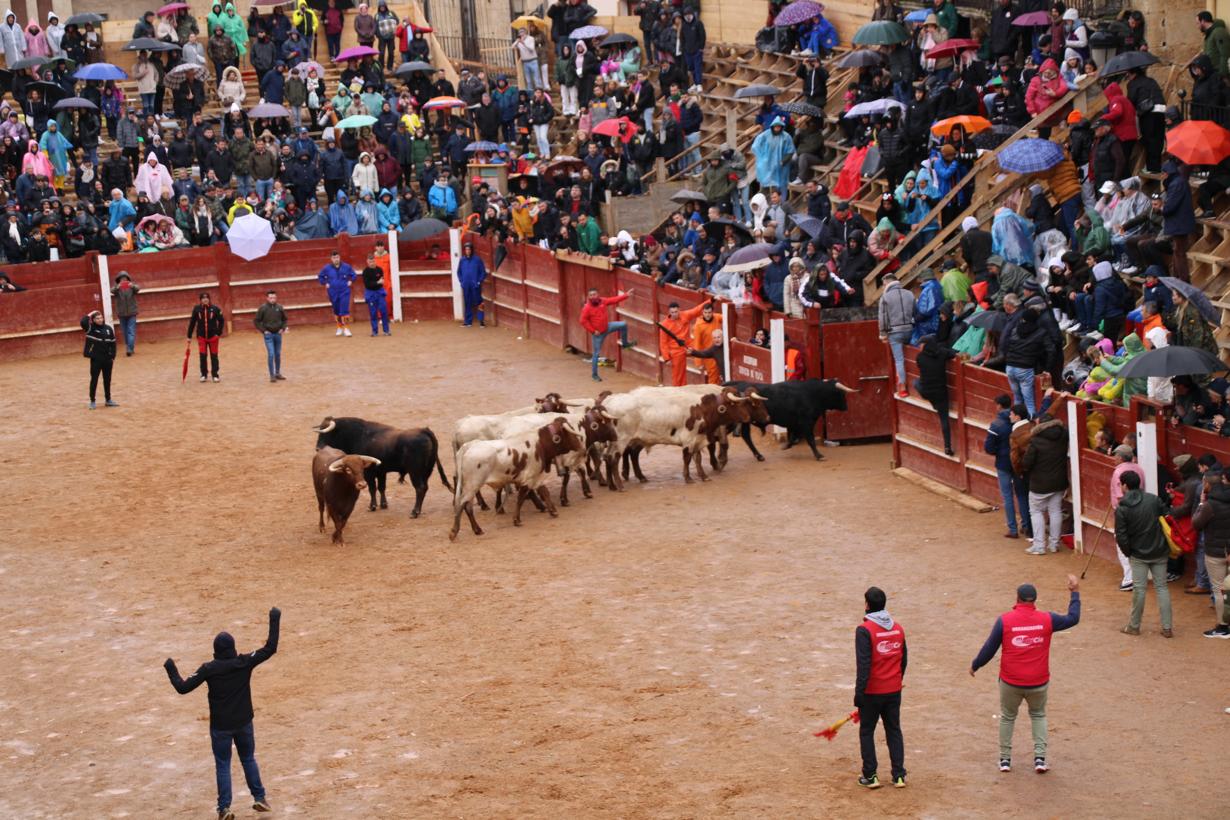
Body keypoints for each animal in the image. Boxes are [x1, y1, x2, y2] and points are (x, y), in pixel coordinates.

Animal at [314, 417, 455, 518]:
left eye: (328, 433)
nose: (318, 448)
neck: (359, 436)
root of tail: (424, 430)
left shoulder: (369, 472)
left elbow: (372, 488)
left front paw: (372, 506)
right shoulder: (381, 471)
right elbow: (381, 487)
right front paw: (383, 504)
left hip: (415, 471)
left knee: (420, 488)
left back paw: (414, 512)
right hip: (427, 471)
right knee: (424, 487)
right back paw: (418, 510)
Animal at [718, 381, 856, 462]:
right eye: (840, 394)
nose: (846, 407)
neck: (813, 393)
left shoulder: (796, 423)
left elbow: (793, 437)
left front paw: (786, 446)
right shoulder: (806, 422)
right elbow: (810, 439)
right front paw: (819, 456)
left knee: (745, 436)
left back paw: (758, 456)